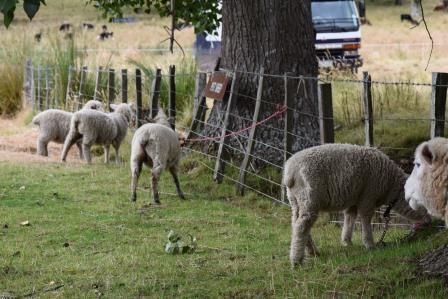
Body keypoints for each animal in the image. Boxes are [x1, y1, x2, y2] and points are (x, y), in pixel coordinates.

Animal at [286, 143, 428, 268]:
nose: (429, 221)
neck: (391, 187)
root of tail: (290, 171)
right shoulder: (368, 196)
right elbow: (365, 219)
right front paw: (370, 244)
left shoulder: (355, 199)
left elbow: (350, 217)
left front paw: (347, 241)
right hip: (310, 198)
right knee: (302, 226)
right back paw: (296, 261)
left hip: (296, 200)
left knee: (296, 223)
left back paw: (312, 251)